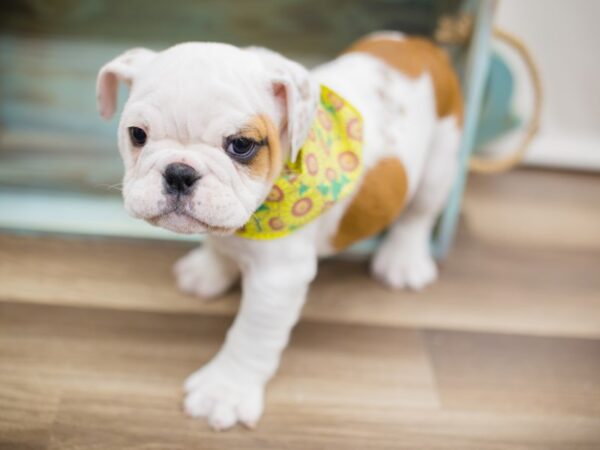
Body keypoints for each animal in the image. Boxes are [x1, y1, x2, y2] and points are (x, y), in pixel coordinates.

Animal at [97, 31, 464, 428]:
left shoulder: (277, 280)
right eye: (137, 134)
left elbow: (250, 336)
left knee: (419, 214)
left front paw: (223, 392)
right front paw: (207, 271)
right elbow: (220, 244)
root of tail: (420, 45)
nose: (179, 172)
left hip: (440, 160)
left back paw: (403, 261)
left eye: (241, 145)